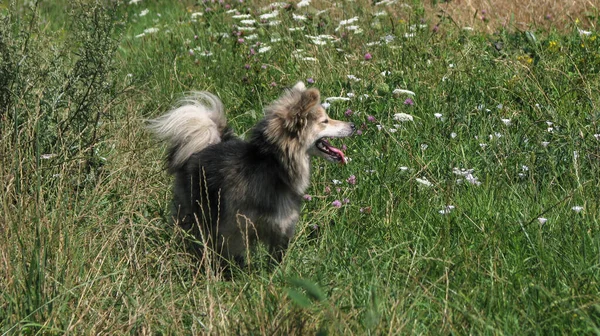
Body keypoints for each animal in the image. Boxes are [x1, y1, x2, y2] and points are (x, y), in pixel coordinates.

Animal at [150, 81, 354, 266]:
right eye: (325, 121)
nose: (353, 124)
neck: (274, 168)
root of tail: (206, 145)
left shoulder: (281, 231)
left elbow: (275, 263)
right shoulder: (235, 231)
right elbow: (235, 257)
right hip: (193, 210)